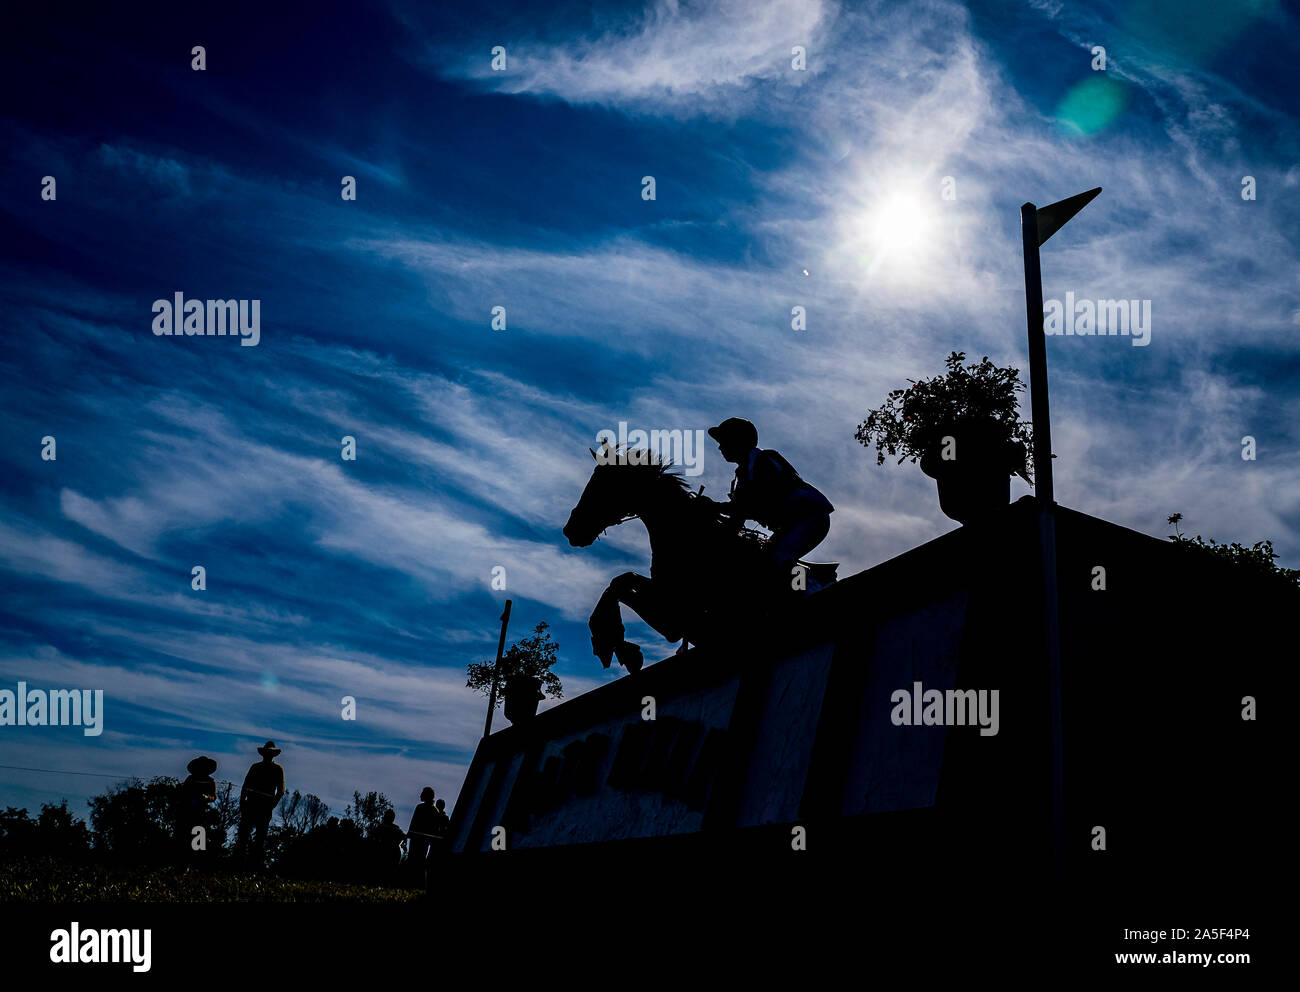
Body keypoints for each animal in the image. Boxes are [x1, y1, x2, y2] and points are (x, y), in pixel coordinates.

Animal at [561, 449, 832, 676]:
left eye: (603, 485)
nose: (571, 530)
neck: (693, 540)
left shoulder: (684, 611)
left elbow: (621, 585)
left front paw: (613, 643)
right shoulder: (672, 606)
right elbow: (622, 582)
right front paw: (618, 646)